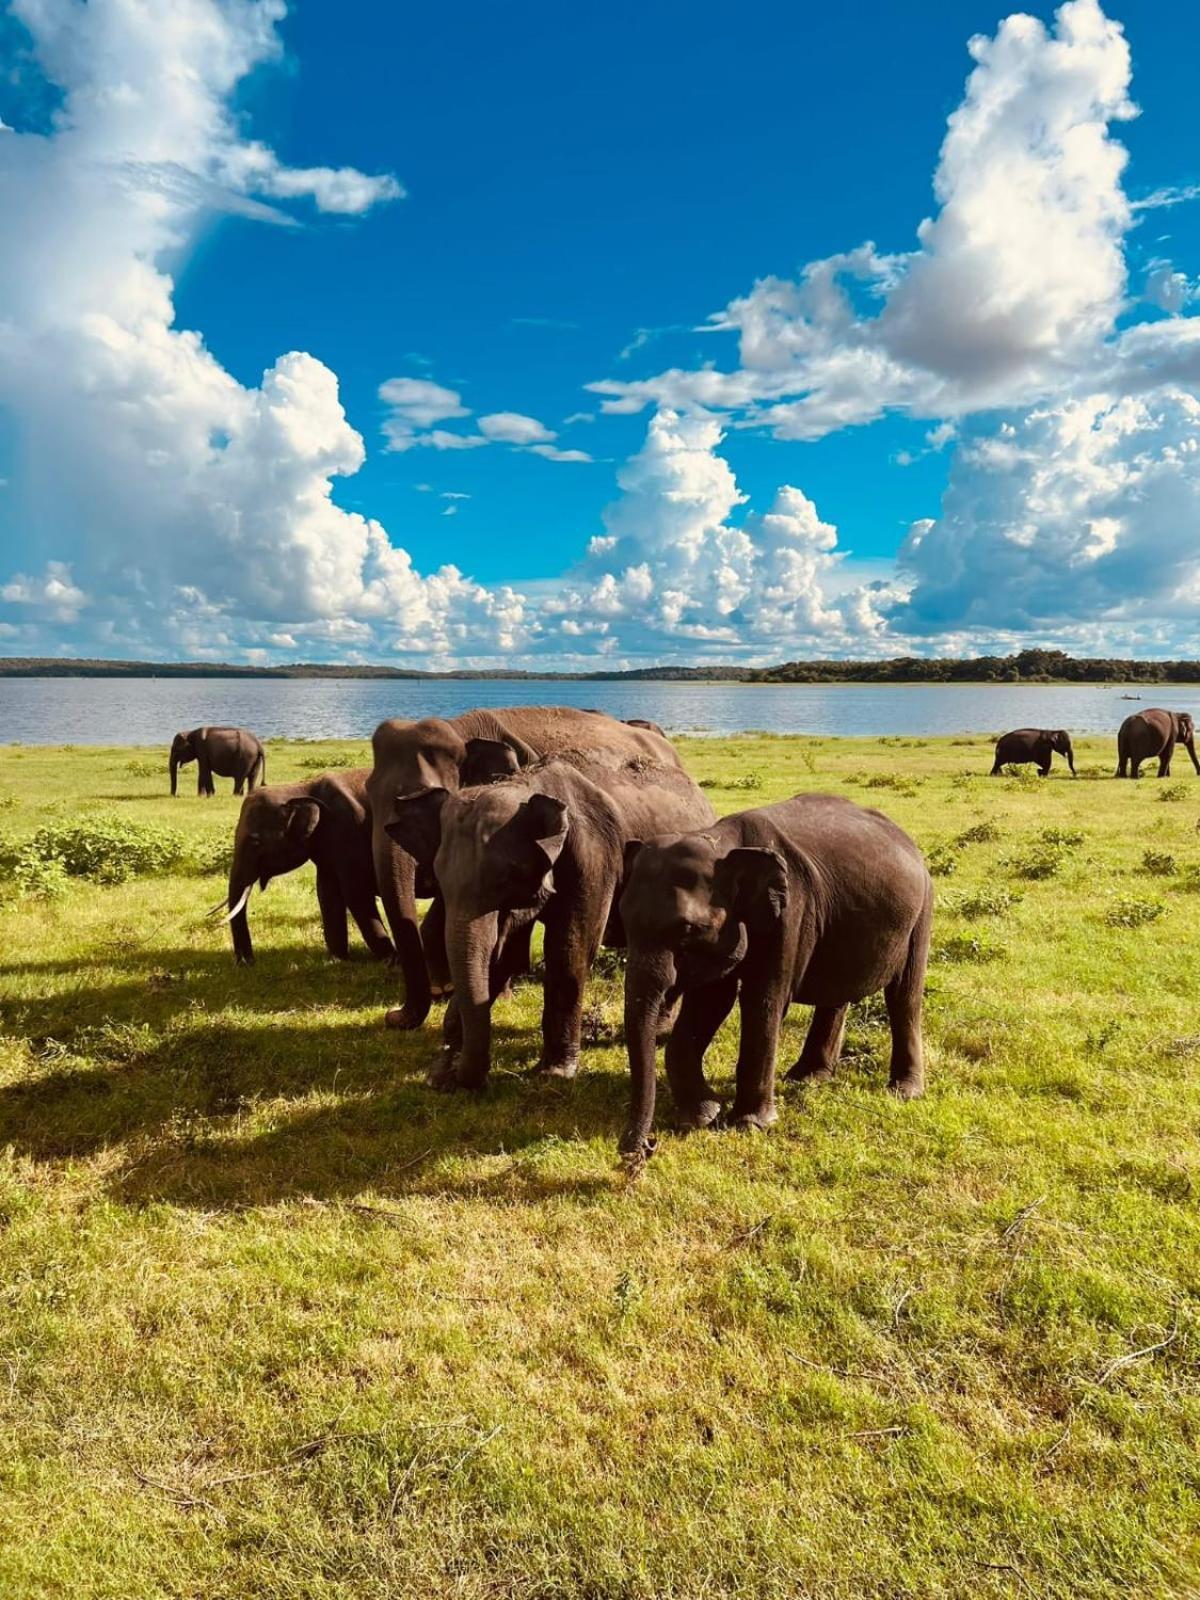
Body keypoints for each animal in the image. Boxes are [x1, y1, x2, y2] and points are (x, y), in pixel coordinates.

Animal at [220, 771, 395, 966]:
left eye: (255, 842)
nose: (247, 962)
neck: (301, 787)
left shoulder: (349, 831)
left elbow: (356, 892)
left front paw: (391, 960)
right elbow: (327, 892)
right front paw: (337, 960)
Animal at [385, 748, 713, 1088]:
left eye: (506, 877)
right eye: (438, 878)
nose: (390, 1016)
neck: (525, 785)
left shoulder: (595, 857)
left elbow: (570, 948)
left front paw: (553, 1073)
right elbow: (502, 956)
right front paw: (442, 1072)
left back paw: (659, 1031)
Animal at [614, 796, 934, 1164]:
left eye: (687, 928)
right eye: (623, 920)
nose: (641, 1150)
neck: (721, 841)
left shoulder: (791, 912)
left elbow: (762, 1001)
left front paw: (749, 1125)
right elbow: (711, 1002)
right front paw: (702, 1116)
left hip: (922, 910)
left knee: (904, 996)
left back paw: (904, 1092)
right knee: (835, 995)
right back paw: (806, 1079)